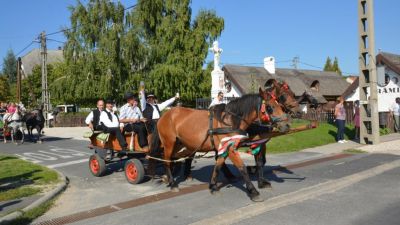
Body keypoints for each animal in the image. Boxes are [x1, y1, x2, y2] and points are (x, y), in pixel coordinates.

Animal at [150, 88, 288, 202]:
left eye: (280, 105)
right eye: (270, 107)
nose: (286, 124)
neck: (229, 121)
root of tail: (164, 116)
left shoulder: (224, 148)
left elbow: (218, 165)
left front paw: (213, 186)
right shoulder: (231, 149)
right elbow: (242, 167)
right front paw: (253, 191)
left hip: (181, 144)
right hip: (169, 143)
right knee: (167, 161)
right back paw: (172, 183)